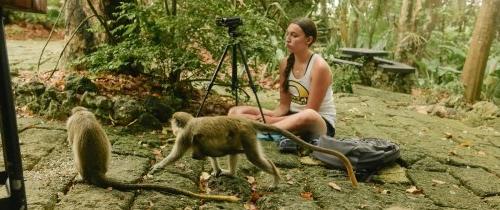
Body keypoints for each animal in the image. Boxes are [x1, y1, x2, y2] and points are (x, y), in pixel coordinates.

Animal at [149, 111, 360, 187]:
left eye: (173, 123)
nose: (171, 127)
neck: (190, 122)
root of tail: (245, 121)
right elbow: (209, 153)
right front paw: (216, 170)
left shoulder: (184, 136)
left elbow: (176, 154)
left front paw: (158, 166)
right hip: (242, 134)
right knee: (233, 150)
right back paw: (231, 173)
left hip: (246, 135)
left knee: (253, 157)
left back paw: (275, 175)